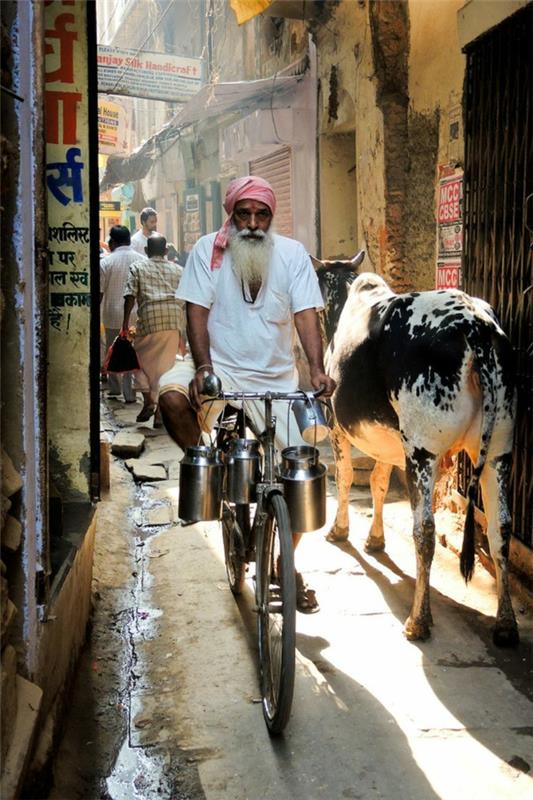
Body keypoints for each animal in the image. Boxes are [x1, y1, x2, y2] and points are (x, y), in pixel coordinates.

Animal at [314, 253, 516, 648]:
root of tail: (475, 325)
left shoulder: (337, 426)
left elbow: (345, 477)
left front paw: (340, 530)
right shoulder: (391, 443)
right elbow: (377, 482)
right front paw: (375, 539)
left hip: (423, 451)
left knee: (424, 531)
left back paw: (418, 620)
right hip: (497, 451)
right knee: (500, 529)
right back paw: (506, 623)